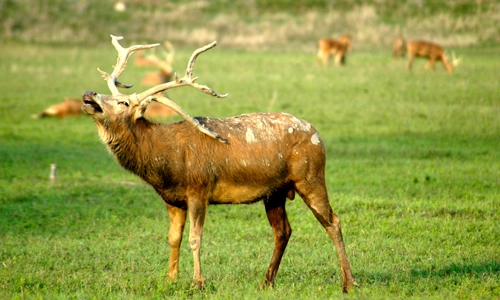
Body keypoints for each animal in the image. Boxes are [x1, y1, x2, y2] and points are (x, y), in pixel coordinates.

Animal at [81, 35, 356, 292]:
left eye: (124, 102)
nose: (89, 94)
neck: (165, 161)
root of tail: (318, 134)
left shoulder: (199, 188)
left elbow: (195, 238)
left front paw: (198, 282)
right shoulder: (173, 199)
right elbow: (173, 238)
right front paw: (170, 280)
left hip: (311, 175)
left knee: (332, 221)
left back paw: (348, 283)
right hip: (275, 191)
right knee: (283, 231)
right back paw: (266, 282)